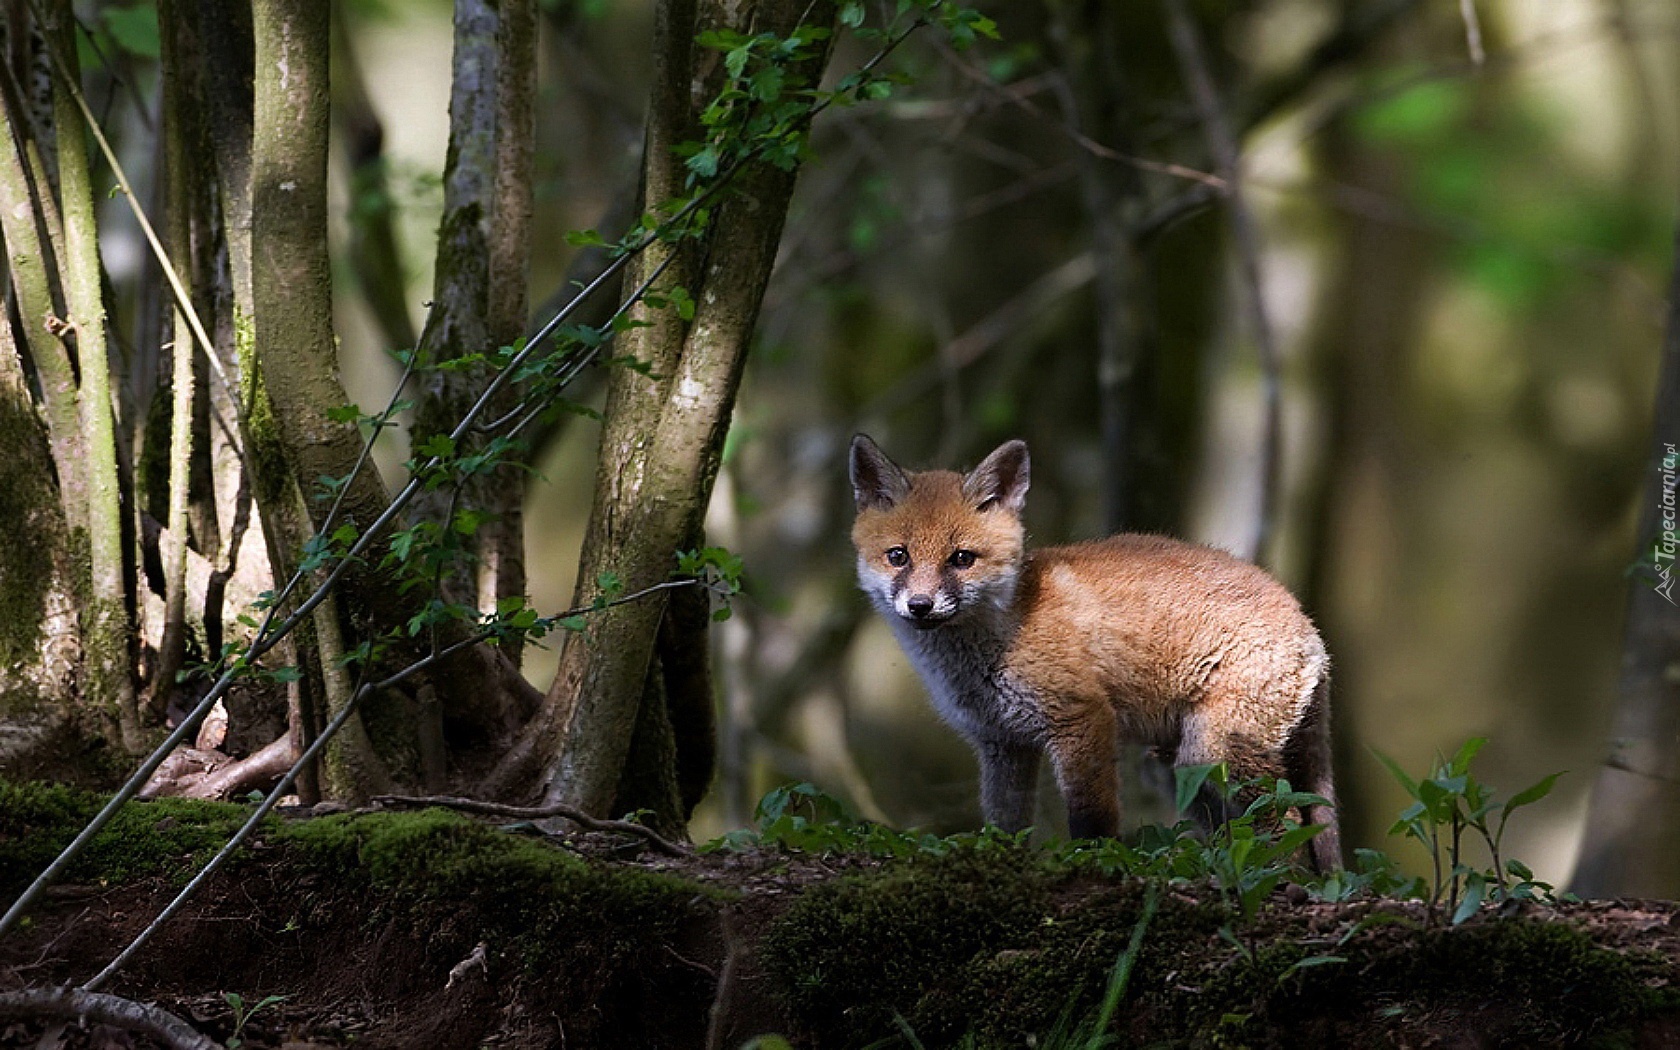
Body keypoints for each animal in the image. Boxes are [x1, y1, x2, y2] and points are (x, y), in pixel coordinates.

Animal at [853, 433, 1337, 866]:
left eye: (961, 559)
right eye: (898, 556)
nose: (920, 605)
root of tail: (1307, 622)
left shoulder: (1082, 717)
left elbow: (1092, 820)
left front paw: (1095, 862)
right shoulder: (1002, 743)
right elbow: (1005, 825)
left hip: (1217, 750)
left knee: (1289, 822)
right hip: (1183, 766)